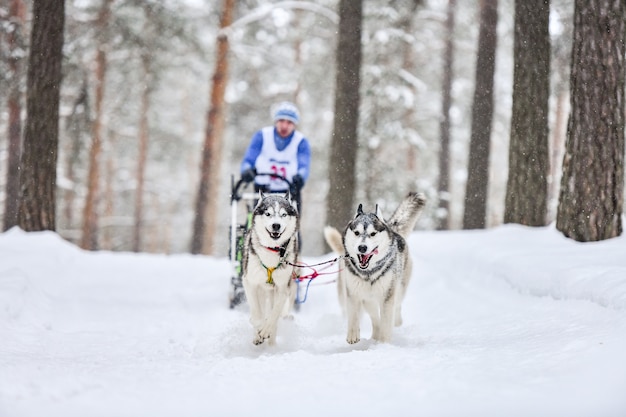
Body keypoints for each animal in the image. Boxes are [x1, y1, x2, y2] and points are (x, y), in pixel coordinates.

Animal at [240, 192, 298, 344]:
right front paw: (259, 328)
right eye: (268, 213)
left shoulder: (282, 287)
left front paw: (266, 330)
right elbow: (257, 313)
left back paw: (271, 343)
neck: (272, 250)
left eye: (283, 214)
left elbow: (275, 313)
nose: (276, 225)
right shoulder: (250, 283)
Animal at [322, 190, 424, 342]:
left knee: (396, 308)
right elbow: (355, 315)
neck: (368, 274)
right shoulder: (354, 294)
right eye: (357, 233)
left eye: (373, 233)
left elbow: (386, 322)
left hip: (398, 289)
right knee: (375, 318)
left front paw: (384, 342)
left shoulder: (387, 296)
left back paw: (396, 324)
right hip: (367, 300)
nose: (362, 247)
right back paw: (375, 335)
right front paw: (353, 334)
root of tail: (391, 227)